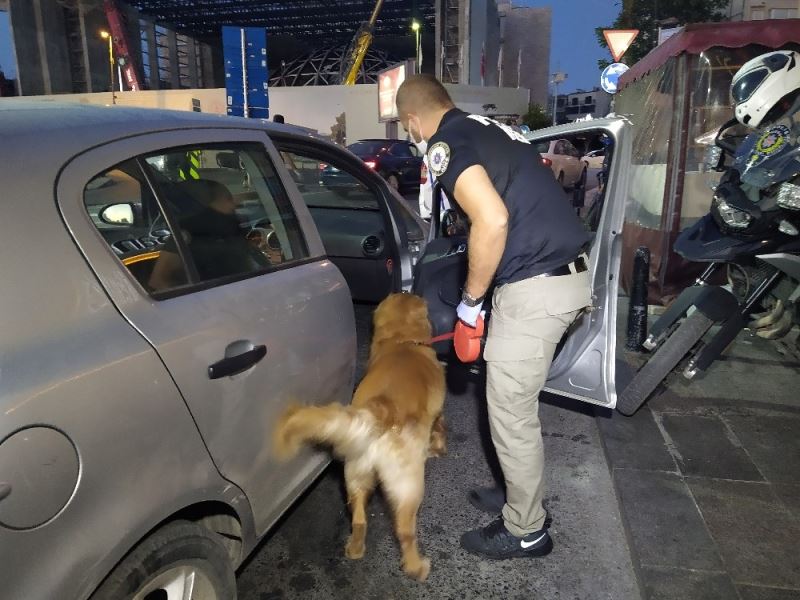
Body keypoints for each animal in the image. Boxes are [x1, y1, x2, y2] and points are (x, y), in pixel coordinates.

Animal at [274, 292, 450, 580]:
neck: (403, 341)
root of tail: (381, 409)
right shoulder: (437, 414)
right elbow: (440, 427)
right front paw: (438, 448)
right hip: (409, 485)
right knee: (405, 531)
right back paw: (417, 568)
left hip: (355, 475)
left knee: (358, 520)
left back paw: (355, 549)